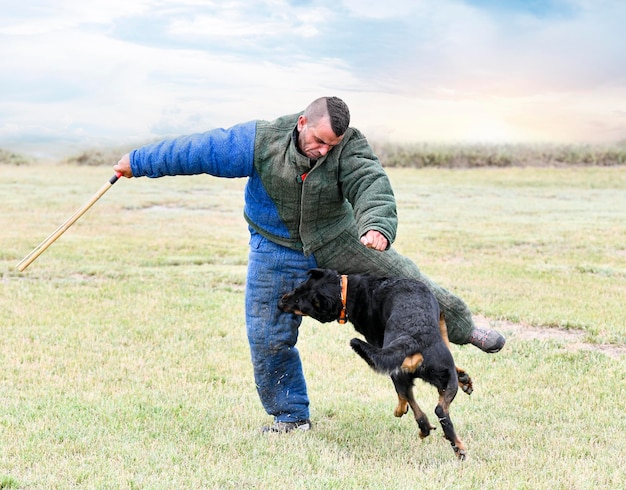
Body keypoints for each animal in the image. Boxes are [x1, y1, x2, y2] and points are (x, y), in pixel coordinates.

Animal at [276, 268, 470, 460]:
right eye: (297, 290)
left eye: (299, 301)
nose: (280, 302)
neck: (346, 292)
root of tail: (411, 336)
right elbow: (446, 335)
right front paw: (464, 377)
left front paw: (464, 377)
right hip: (430, 374)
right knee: (428, 406)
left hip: (413, 372)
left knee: (420, 404)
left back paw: (437, 434)